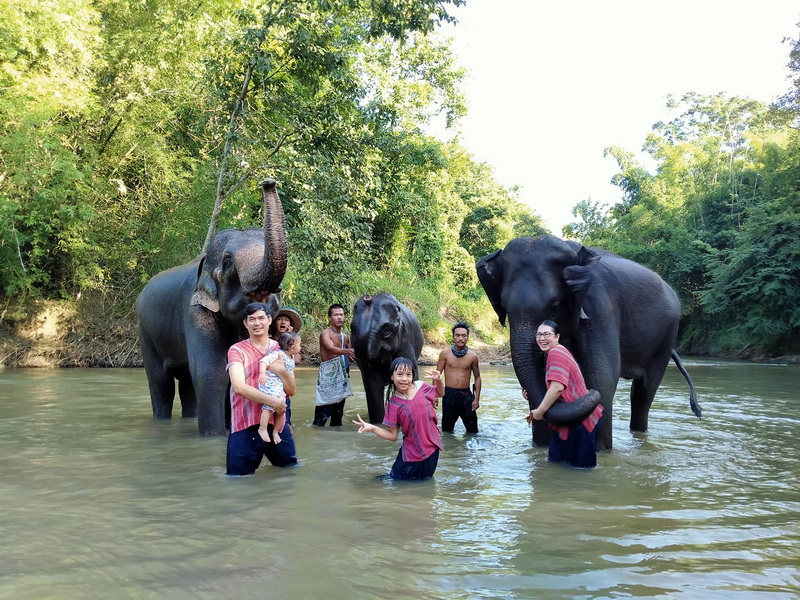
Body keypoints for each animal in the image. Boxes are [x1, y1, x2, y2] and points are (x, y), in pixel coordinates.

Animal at [136, 179, 288, 435]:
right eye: (227, 263)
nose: (268, 182)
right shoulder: (195, 312)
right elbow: (210, 373)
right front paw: (214, 437)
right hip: (146, 332)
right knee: (160, 382)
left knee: (186, 382)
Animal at [476, 235, 700, 451]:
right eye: (505, 307)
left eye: (555, 307)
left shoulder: (601, 309)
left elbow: (602, 379)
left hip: (667, 335)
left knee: (643, 393)